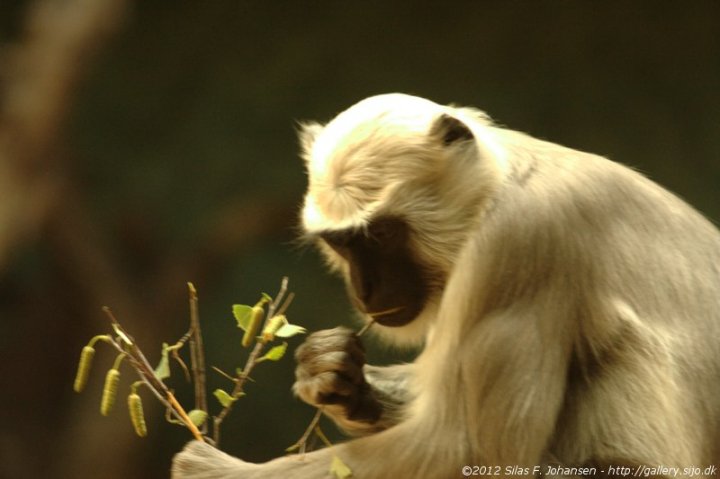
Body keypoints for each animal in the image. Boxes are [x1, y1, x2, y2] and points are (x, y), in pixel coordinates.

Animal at [174, 92, 720, 478]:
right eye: (343, 244)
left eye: (382, 235)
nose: (367, 290)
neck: (500, 187)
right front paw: (333, 375)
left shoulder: (520, 243)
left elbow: (469, 450)